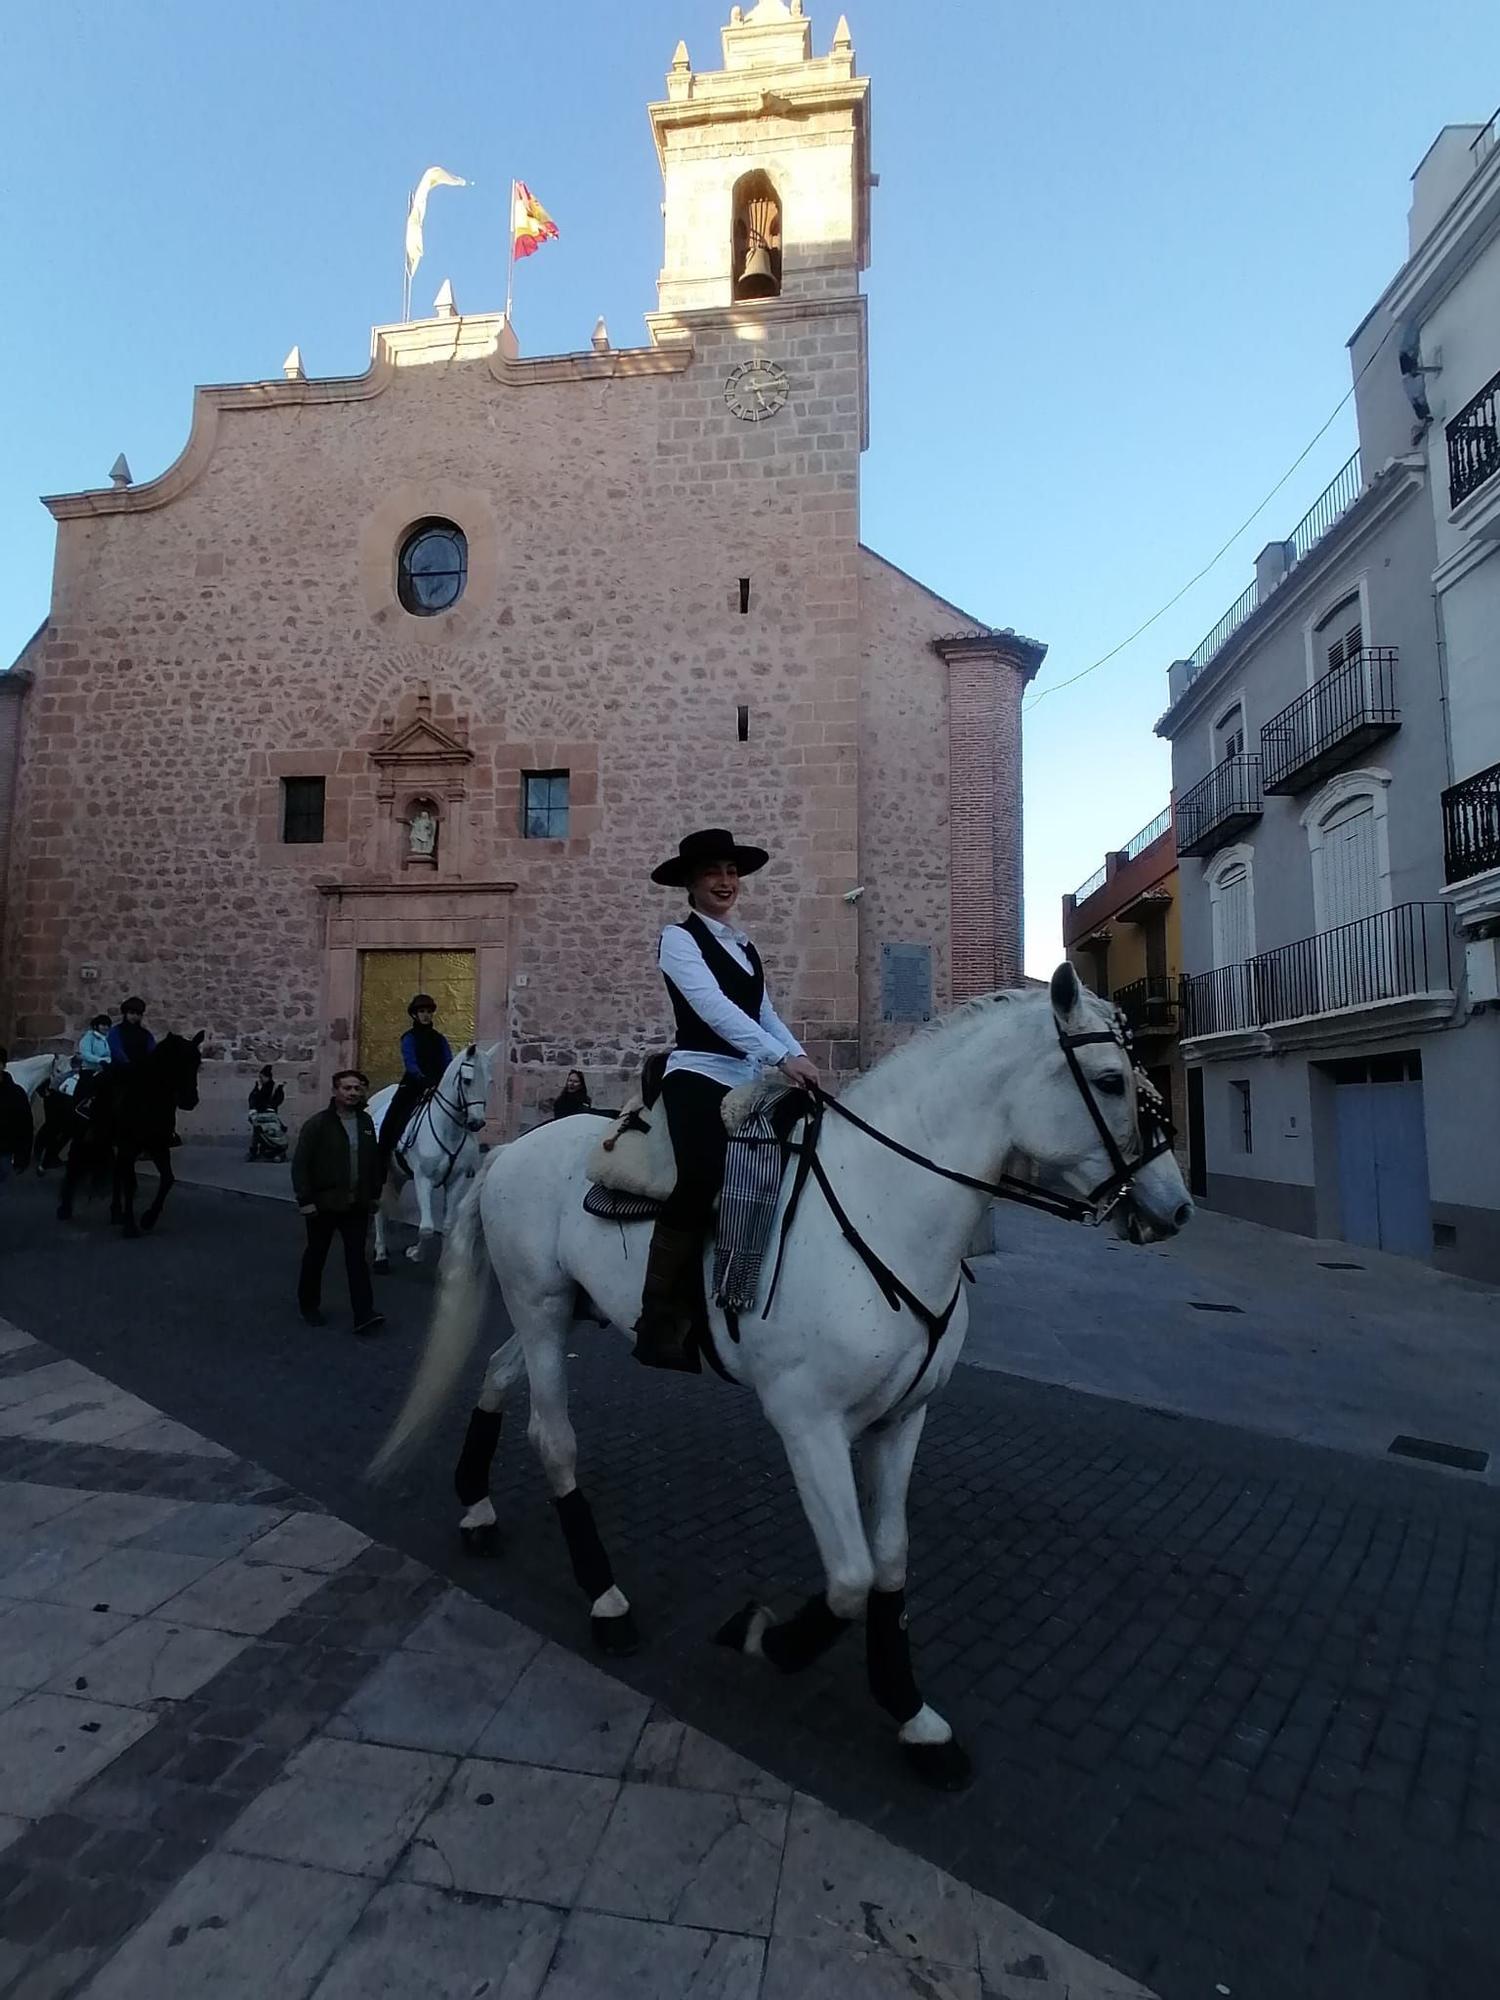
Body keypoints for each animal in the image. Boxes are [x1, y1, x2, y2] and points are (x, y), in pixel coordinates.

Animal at [57, 1032, 206, 1232]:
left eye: (197, 1062)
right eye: (175, 1061)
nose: (190, 1100)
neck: (147, 1099)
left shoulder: (158, 1146)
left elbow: (167, 1179)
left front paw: (148, 1218)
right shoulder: (130, 1146)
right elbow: (129, 1184)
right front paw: (130, 1226)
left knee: (115, 1170)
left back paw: (116, 1212)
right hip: (84, 1134)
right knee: (75, 1161)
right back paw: (65, 1208)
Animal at [372, 1048, 502, 1264]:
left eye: (490, 1081)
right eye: (467, 1080)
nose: (477, 1123)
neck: (448, 1130)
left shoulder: (455, 1180)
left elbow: (447, 1226)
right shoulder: (422, 1179)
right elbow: (426, 1228)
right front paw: (417, 1253)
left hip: (397, 1174)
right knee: (378, 1208)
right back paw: (381, 1251)